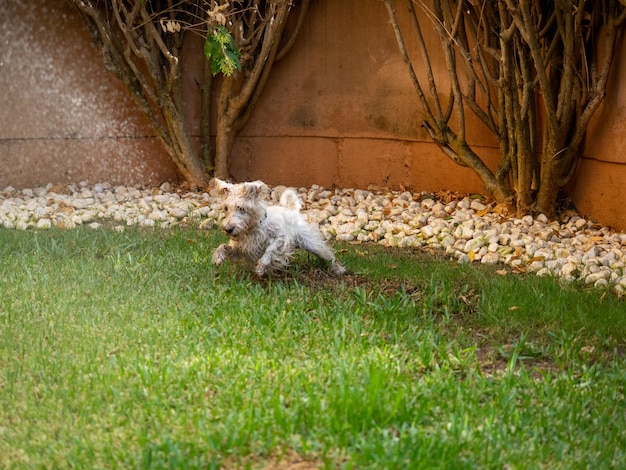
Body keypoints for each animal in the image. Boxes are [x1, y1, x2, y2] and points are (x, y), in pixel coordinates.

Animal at [210, 179, 346, 276]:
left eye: (242, 208)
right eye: (226, 208)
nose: (228, 229)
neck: (253, 228)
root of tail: (292, 210)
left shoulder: (281, 239)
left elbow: (270, 250)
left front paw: (261, 267)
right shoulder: (239, 249)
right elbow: (223, 247)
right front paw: (218, 257)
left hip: (312, 244)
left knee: (328, 255)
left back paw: (338, 269)